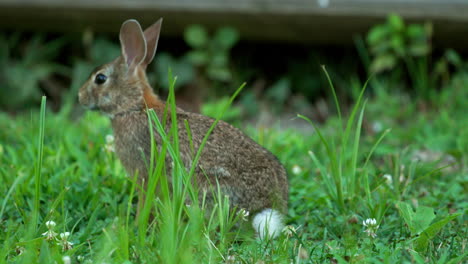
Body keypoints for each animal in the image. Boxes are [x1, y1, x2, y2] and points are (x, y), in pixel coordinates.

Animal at [78, 18, 288, 237]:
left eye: (100, 79)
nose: (80, 97)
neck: (133, 107)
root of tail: (265, 205)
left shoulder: (144, 172)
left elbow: (145, 200)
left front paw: (136, 226)